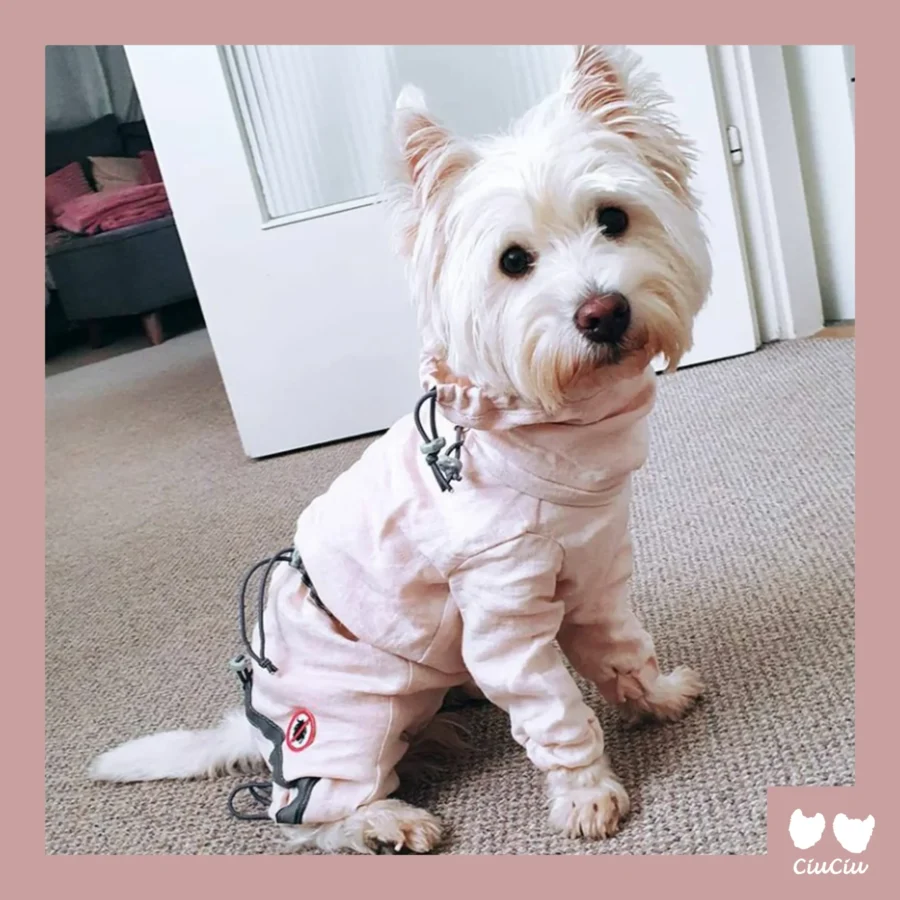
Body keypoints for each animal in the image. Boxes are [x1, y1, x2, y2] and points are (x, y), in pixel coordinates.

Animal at [91, 45, 712, 856]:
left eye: (614, 218)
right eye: (514, 261)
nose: (602, 313)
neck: (546, 445)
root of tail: (258, 734)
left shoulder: (599, 576)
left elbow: (620, 651)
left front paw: (656, 697)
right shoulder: (503, 617)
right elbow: (553, 709)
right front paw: (586, 793)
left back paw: (440, 730)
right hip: (343, 721)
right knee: (309, 818)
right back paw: (389, 817)